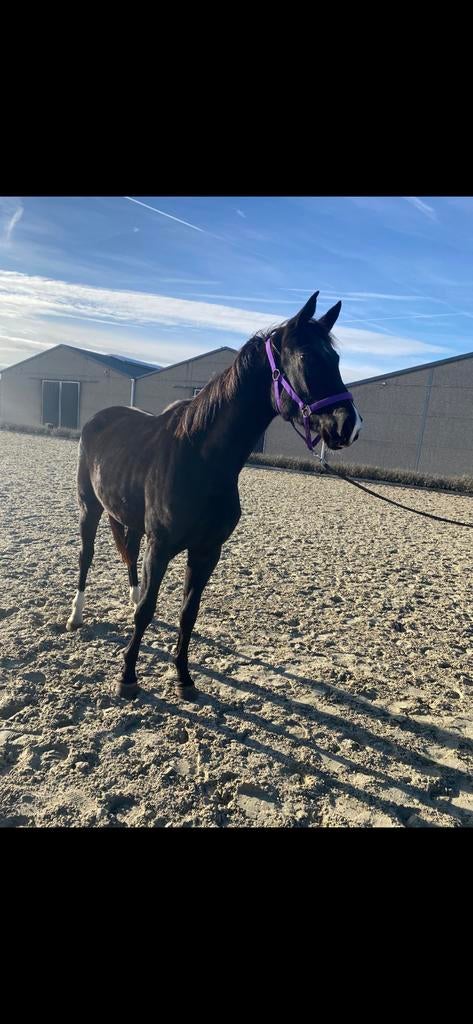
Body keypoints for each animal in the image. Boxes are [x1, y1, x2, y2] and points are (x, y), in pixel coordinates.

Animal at [66, 292, 362, 700]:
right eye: (306, 358)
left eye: (335, 359)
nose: (348, 426)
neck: (201, 459)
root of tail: (99, 418)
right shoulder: (161, 546)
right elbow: (148, 610)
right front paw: (127, 677)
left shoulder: (207, 551)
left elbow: (187, 613)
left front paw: (183, 677)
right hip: (88, 507)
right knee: (86, 557)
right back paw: (75, 616)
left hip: (129, 518)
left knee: (129, 556)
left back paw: (128, 598)